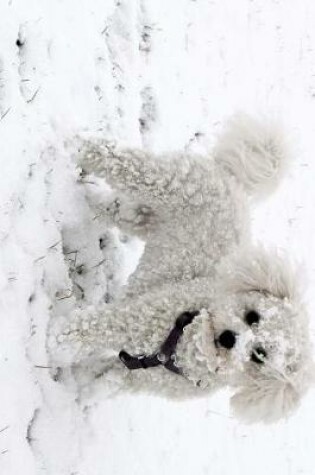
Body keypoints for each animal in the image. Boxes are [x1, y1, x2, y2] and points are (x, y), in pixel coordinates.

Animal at [49, 115, 314, 424]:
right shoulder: (130, 319)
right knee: (118, 157)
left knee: (116, 208)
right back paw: (75, 144)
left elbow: (104, 381)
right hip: (162, 181)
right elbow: (84, 330)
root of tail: (232, 181)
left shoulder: (134, 375)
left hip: (146, 219)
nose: (229, 338)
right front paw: (55, 343)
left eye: (259, 356)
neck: (185, 350)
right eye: (253, 316)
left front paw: (82, 390)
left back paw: (89, 197)